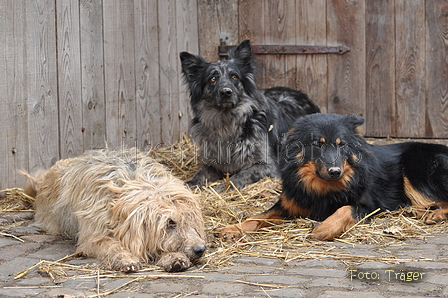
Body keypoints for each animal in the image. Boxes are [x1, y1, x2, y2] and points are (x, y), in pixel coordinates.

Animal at [22, 149, 206, 272]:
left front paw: (174, 258)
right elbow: (112, 246)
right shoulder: (94, 237)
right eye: (170, 223)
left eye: (190, 220)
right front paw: (126, 259)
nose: (200, 249)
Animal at [178, 39, 318, 191]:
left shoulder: (268, 165)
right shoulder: (214, 164)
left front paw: (223, 187)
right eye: (212, 78)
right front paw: (187, 185)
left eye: (234, 76)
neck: (227, 123)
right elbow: (200, 173)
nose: (226, 92)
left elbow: (240, 176)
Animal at [220, 113, 448, 241]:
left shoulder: (369, 206)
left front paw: (325, 228)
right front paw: (233, 228)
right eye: (318, 144)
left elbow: (344, 208)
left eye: (342, 144)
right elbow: (257, 217)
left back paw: (436, 214)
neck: (323, 187)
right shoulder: (288, 204)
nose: (335, 172)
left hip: (415, 166)